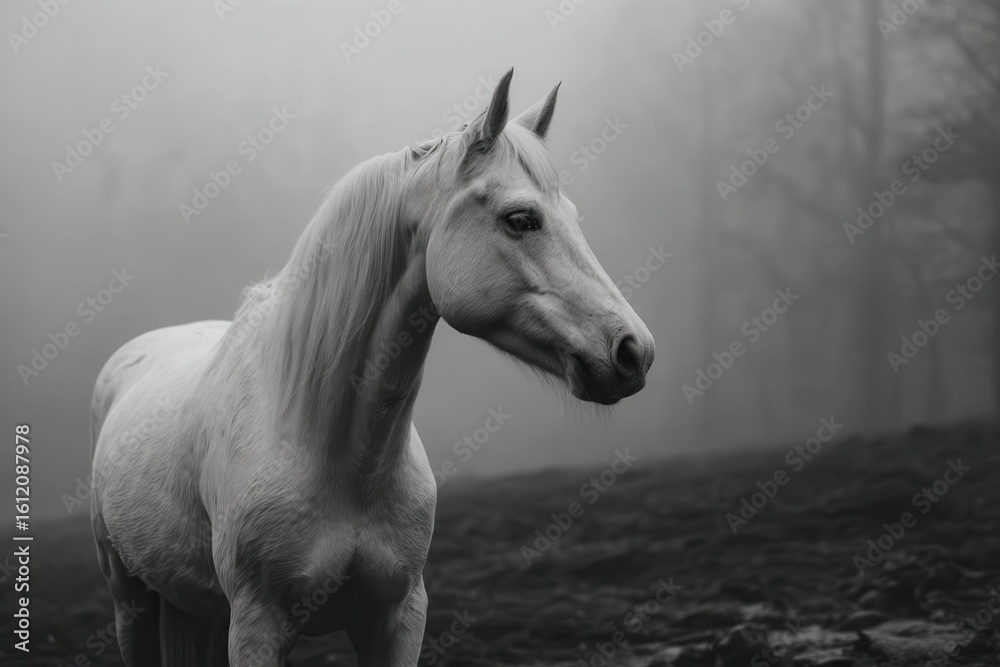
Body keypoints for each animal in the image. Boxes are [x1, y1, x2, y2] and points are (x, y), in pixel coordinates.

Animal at [89, 68, 655, 666]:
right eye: (520, 219)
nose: (634, 350)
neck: (333, 451)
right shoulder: (255, 625)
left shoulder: (398, 616)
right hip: (131, 600)